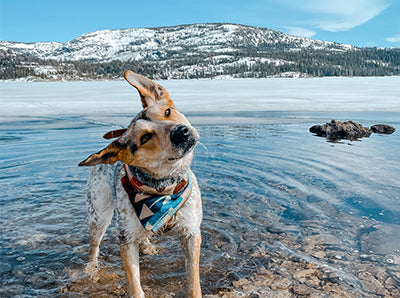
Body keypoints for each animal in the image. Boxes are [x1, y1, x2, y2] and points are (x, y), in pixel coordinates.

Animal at [79, 71, 203, 296]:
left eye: (168, 111)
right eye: (145, 138)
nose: (182, 132)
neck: (162, 189)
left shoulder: (191, 231)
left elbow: (193, 280)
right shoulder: (126, 239)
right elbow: (135, 285)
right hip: (98, 214)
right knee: (94, 246)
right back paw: (92, 270)